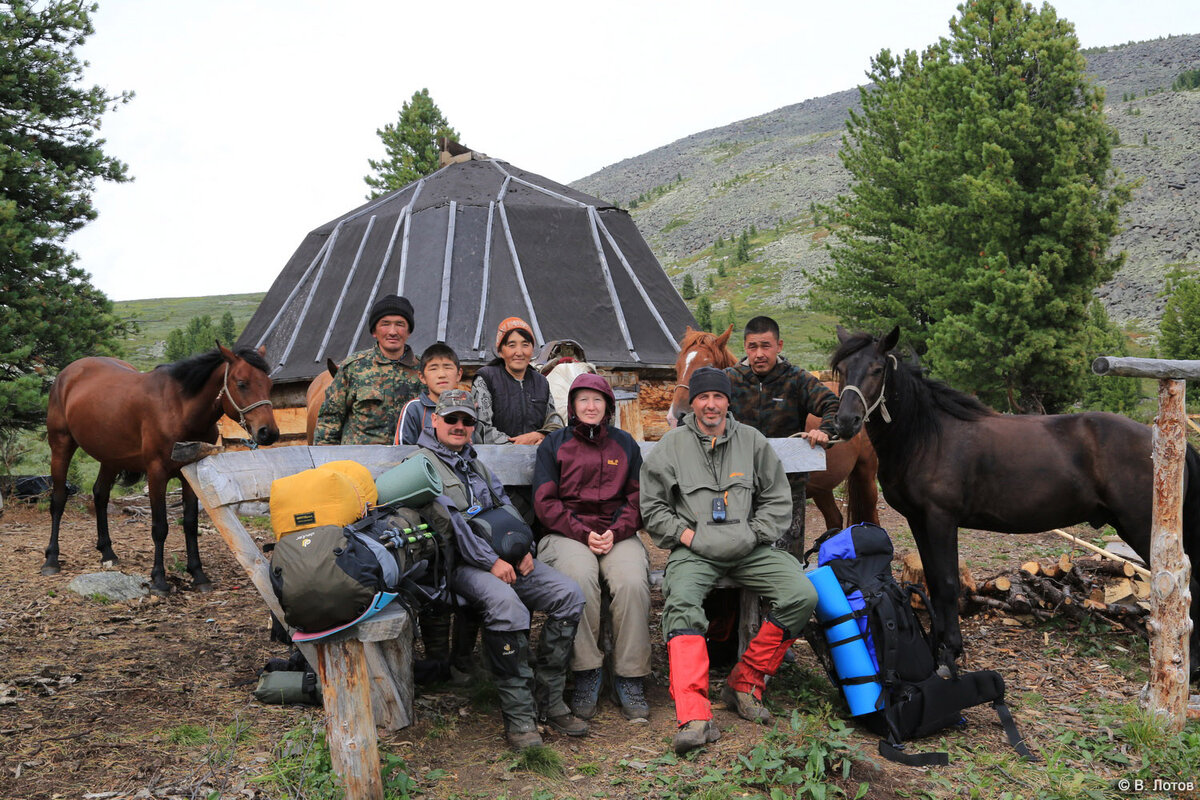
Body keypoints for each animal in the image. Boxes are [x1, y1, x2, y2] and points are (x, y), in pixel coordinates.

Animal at [45, 345, 278, 594]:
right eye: (242, 383)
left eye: (269, 384)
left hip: (110, 457)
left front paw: (198, 574)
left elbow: (190, 523)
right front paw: (159, 579)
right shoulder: (157, 474)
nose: (268, 432)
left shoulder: (189, 474)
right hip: (61, 446)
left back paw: (107, 552)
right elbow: (160, 527)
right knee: (58, 500)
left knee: (100, 495)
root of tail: (68, 373)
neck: (179, 408)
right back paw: (51, 559)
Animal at [672, 321, 888, 534]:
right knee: (834, 520)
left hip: (866, 475)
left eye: (708, 367)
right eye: (677, 367)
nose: (677, 416)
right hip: (823, 489)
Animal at [835, 323, 1200, 676]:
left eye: (877, 368)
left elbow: (948, 583)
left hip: (1142, 528)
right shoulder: (918, 521)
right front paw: (938, 650)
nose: (845, 421)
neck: (927, 437)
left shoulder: (941, 519)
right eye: (841, 368)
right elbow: (935, 585)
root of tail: (1170, 442)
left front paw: (951, 654)